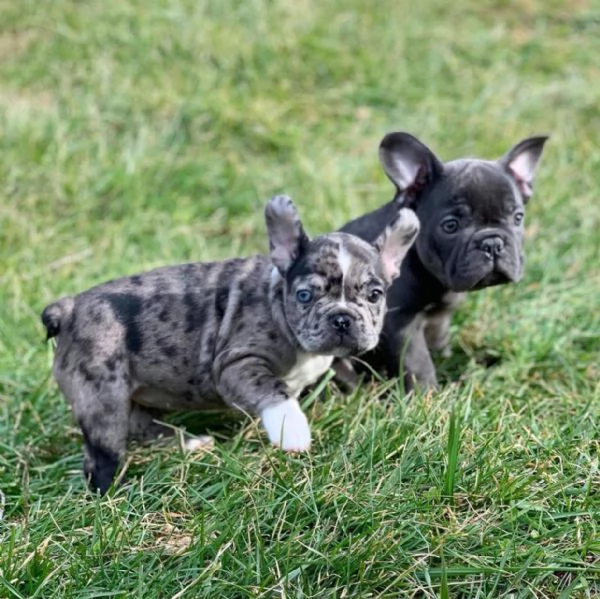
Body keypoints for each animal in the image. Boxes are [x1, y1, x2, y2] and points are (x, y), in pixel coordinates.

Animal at [42, 195, 420, 494]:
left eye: (375, 295)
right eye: (305, 295)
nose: (342, 318)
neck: (278, 300)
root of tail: (70, 309)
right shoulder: (236, 361)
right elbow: (272, 389)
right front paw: (291, 428)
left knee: (143, 424)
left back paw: (189, 444)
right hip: (102, 396)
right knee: (103, 453)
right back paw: (111, 498)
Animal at [338, 132, 548, 392]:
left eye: (517, 218)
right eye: (450, 226)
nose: (492, 242)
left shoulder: (439, 318)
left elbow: (439, 342)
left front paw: (450, 362)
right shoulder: (401, 323)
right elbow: (418, 364)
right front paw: (427, 395)